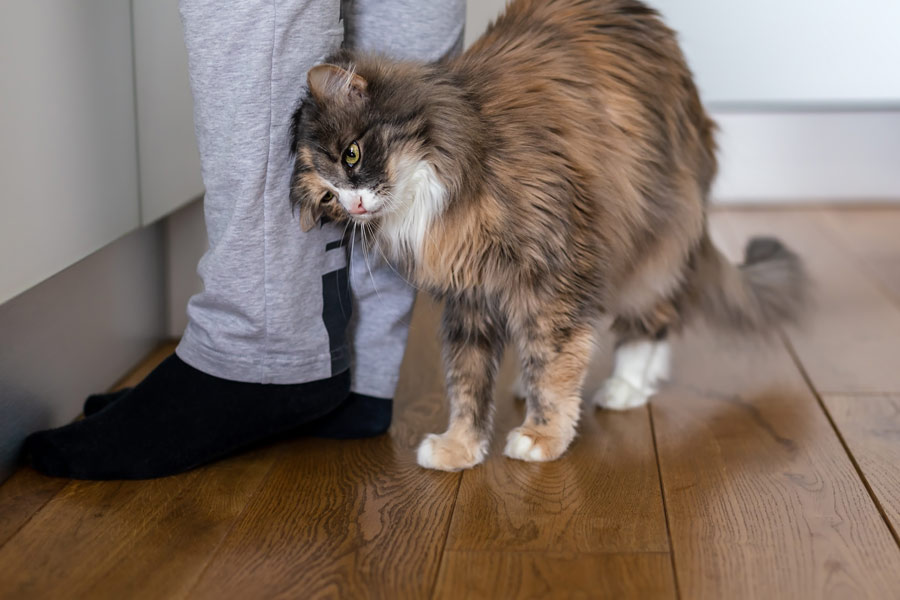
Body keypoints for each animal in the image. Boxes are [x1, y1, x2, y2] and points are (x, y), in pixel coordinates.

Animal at [290, 0, 808, 468]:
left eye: (352, 154)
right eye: (329, 198)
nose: (354, 205)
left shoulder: (554, 274)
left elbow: (555, 363)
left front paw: (543, 436)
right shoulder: (469, 296)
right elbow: (467, 379)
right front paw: (461, 447)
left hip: (648, 241)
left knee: (655, 317)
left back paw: (627, 386)